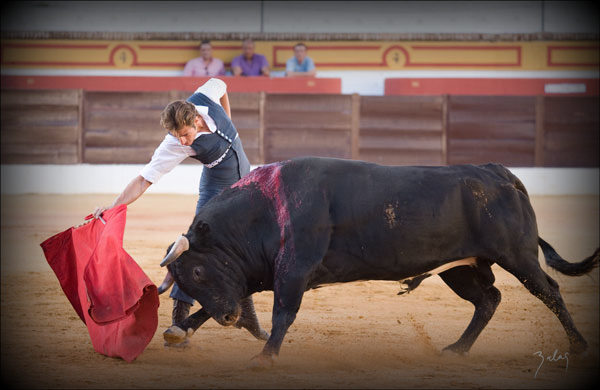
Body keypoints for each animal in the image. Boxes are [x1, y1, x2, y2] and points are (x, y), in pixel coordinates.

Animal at [158, 155, 596, 366]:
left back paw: (578, 346)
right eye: (190, 279)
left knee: (549, 291)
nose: (230, 318)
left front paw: (266, 356)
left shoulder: (293, 269)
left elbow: (284, 313)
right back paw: (456, 349)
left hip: (517, 256)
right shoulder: (256, 273)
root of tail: (499, 173)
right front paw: (180, 331)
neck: (264, 208)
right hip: (460, 268)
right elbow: (207, 309)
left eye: (198, 269)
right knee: (489, 299)